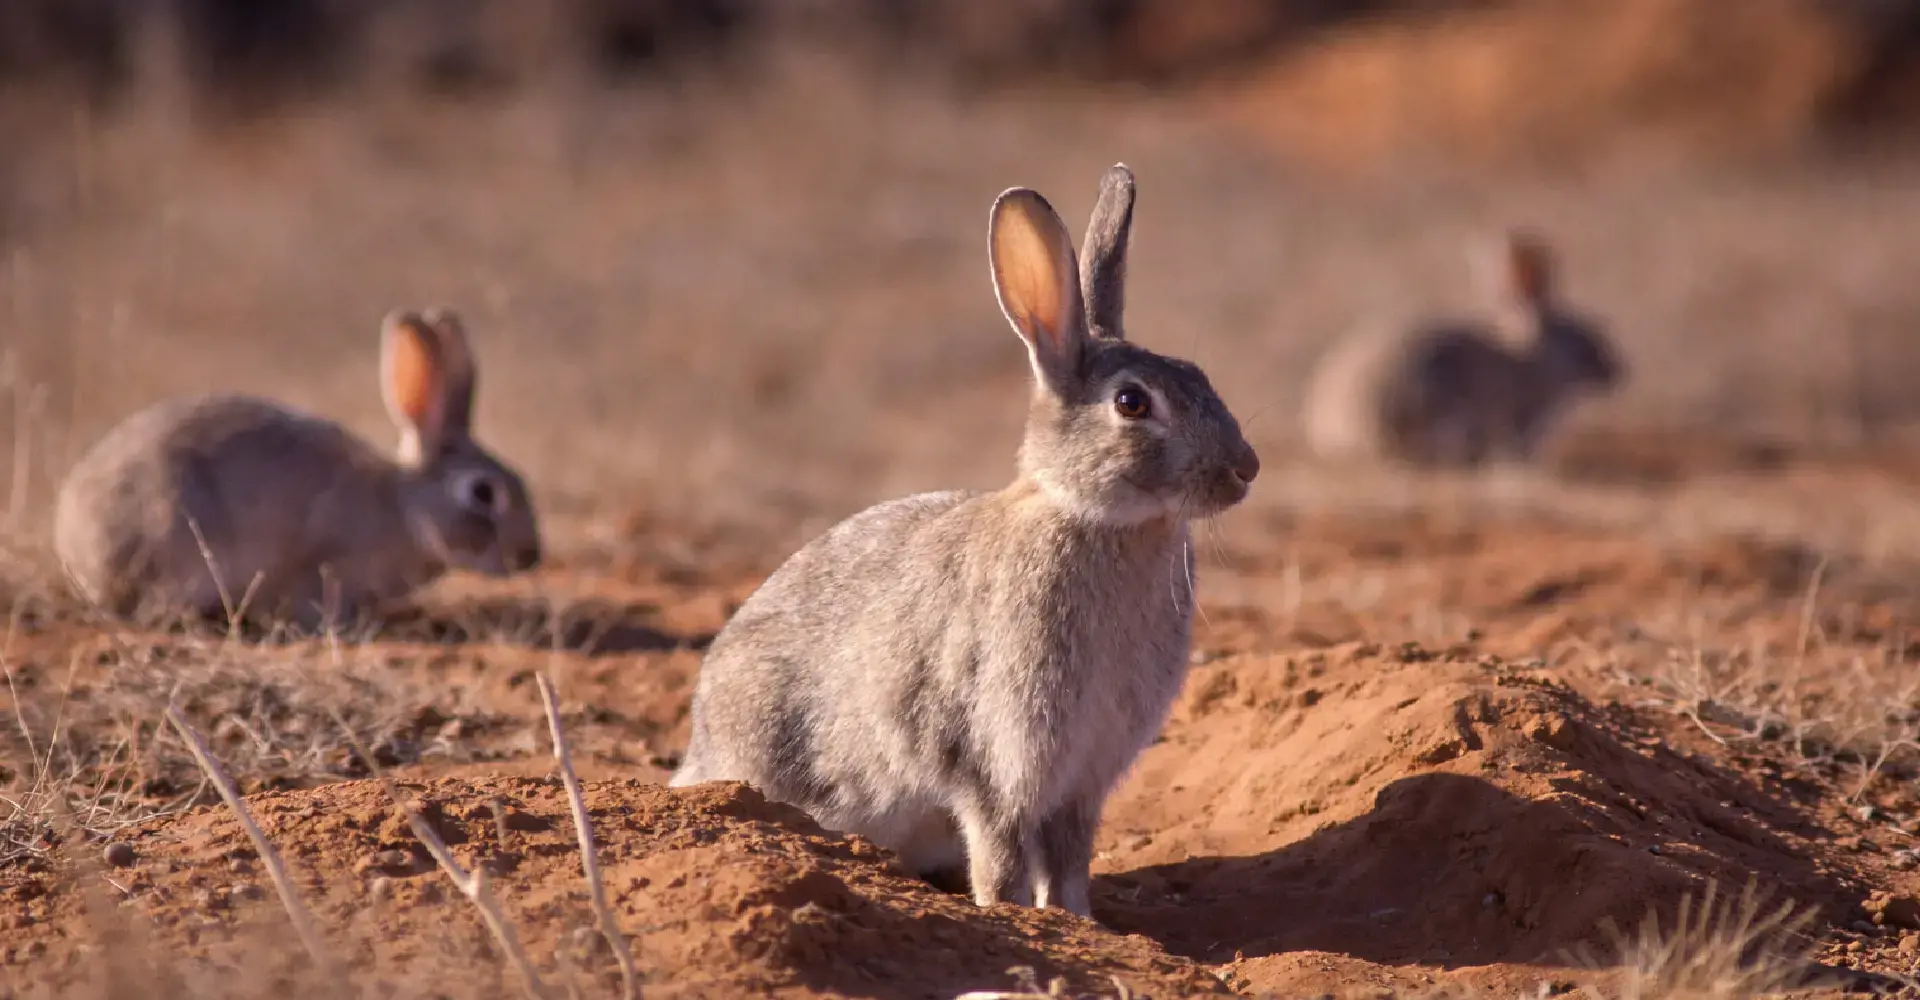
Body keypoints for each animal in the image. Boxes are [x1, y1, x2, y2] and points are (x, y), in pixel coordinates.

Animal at [672, 164, 1260, 919]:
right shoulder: (994, 758)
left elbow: (1069, 862)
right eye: (1133, 403)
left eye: (1199, 375)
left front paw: (1079, 922)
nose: (1245, 469)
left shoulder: (1083, 778)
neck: (1095, 519)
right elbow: (1002, 855)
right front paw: (1009, 915)